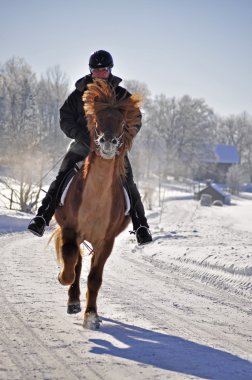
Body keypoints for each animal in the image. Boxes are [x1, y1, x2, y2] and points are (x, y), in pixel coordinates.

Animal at [52, 79, 143, 330]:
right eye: (96, 120)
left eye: (121, 122)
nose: (108, 142)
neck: (96, 198)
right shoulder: (71, 230)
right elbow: (70, 266)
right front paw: (63, 280)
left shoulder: (106, 241)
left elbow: (94, 278)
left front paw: (91, 316)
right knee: (76, 263)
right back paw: (73, 301)